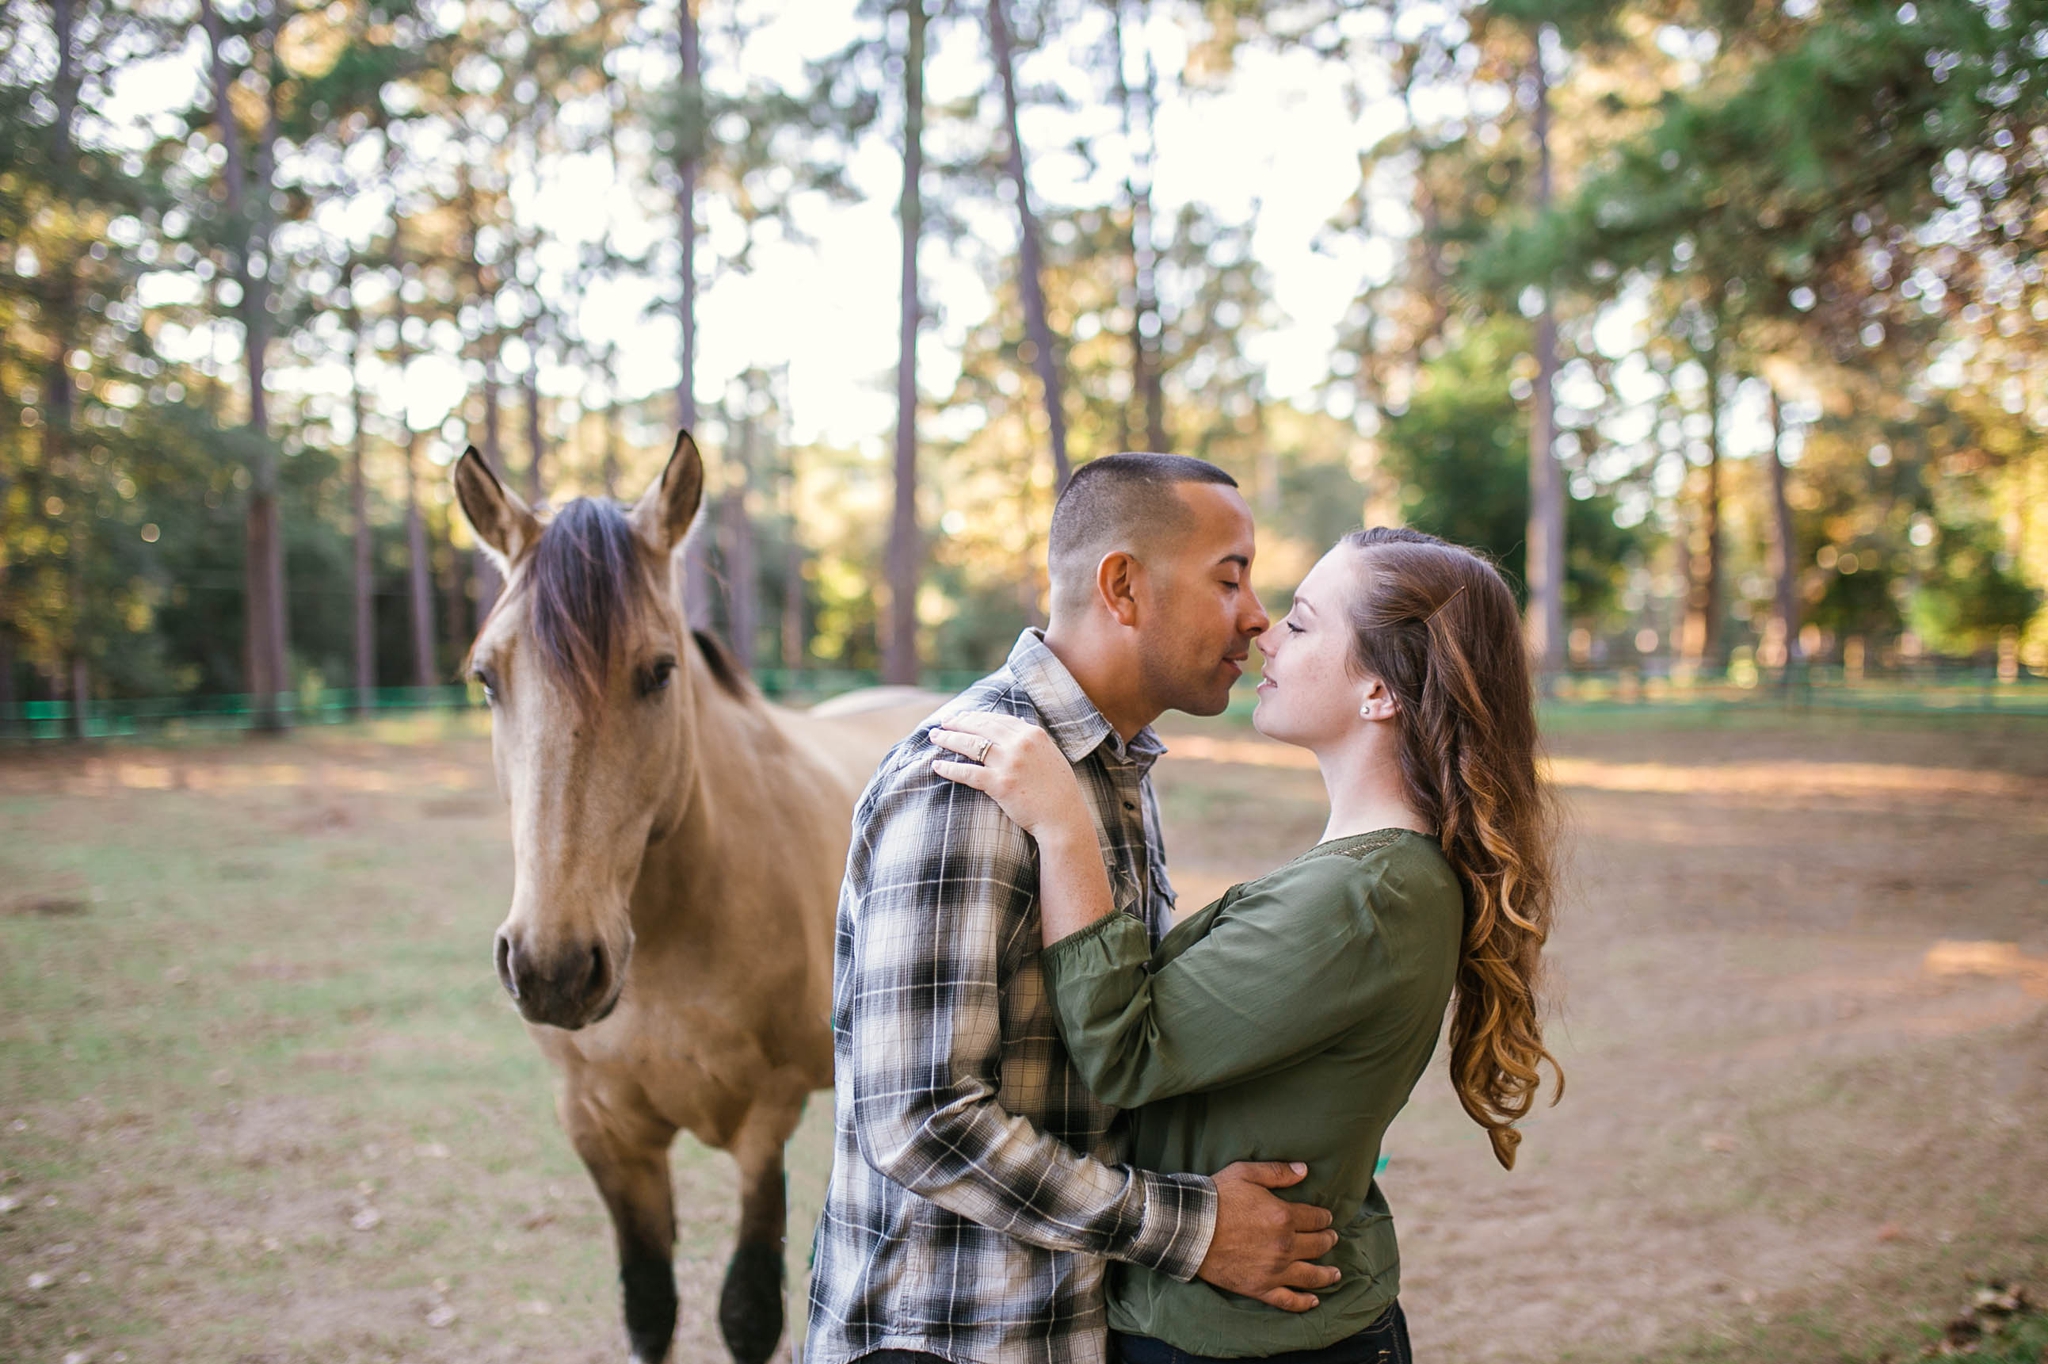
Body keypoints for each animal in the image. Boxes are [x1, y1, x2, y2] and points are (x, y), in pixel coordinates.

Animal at [454, 432, 937, 1359]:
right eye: (486, 679)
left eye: (658, 671)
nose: (554, 969)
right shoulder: (601, 1130)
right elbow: (649, 1304)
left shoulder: (763, 1120)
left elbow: (747, 1311)